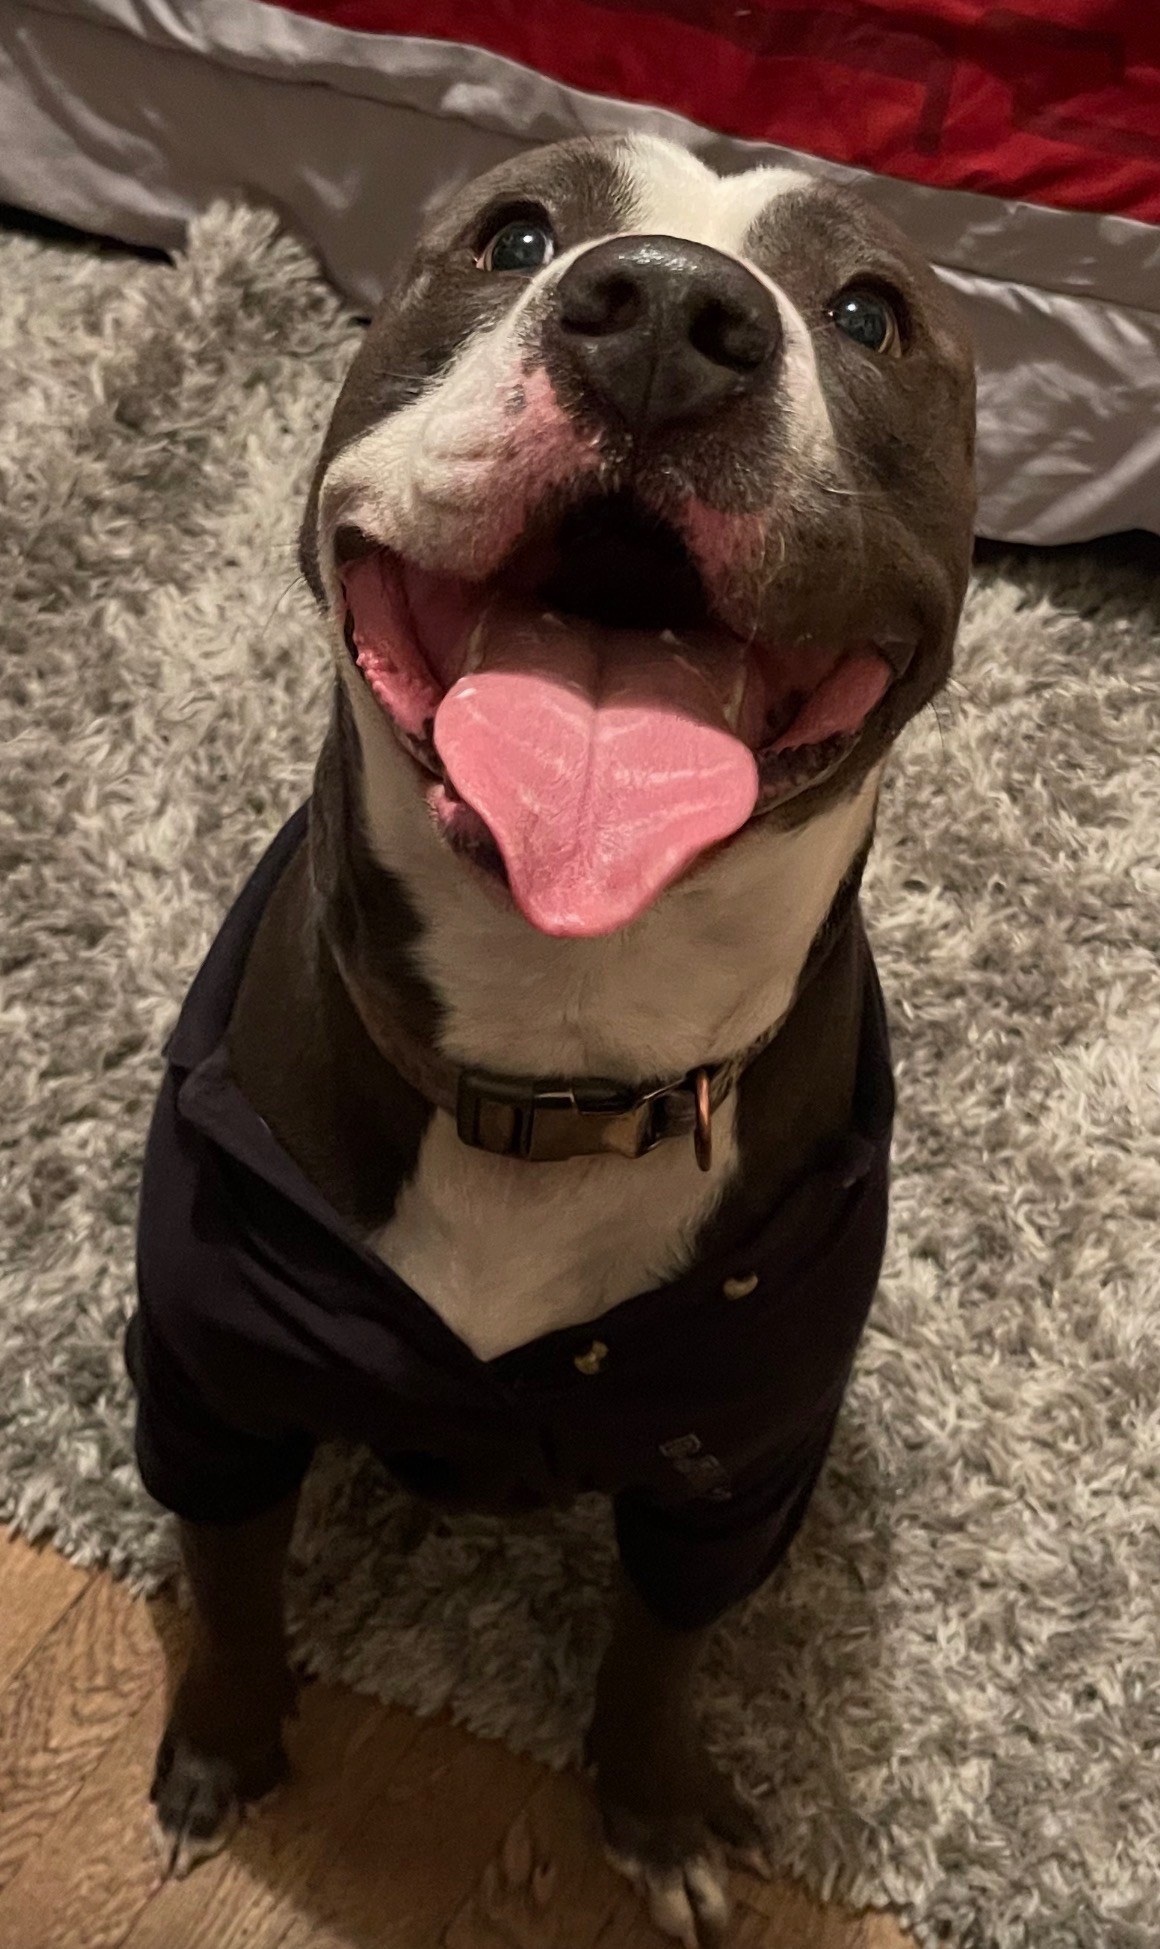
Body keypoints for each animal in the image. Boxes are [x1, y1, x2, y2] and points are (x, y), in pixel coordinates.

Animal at [127, 133, 975, 1946]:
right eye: (515, 234)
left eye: (870, 311)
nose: (665, 313)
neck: (560, 1043)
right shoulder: (213, 1386)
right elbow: (230, 1584)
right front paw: (220, 1749)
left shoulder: (732, 1471)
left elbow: (660, 1657)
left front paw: (654, 1813)